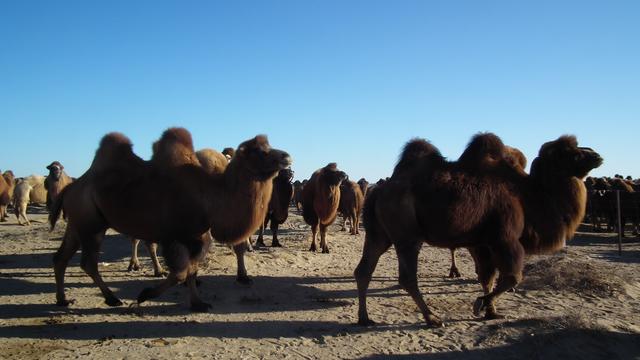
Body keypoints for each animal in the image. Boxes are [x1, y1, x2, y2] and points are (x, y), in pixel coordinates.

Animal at [356, 134, 600, 328]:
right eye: (570, 153)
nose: (596, 154)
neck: (528, 193)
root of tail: (378, 191)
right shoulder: (505, 238)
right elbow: (513, 277)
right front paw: (480, 304)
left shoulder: (482, 242)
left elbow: (487, 276)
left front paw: (491, 311)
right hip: (407, 235)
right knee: (407, 277)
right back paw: (432, 318)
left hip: (379, 234)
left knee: (364, 270)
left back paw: (365, 318)